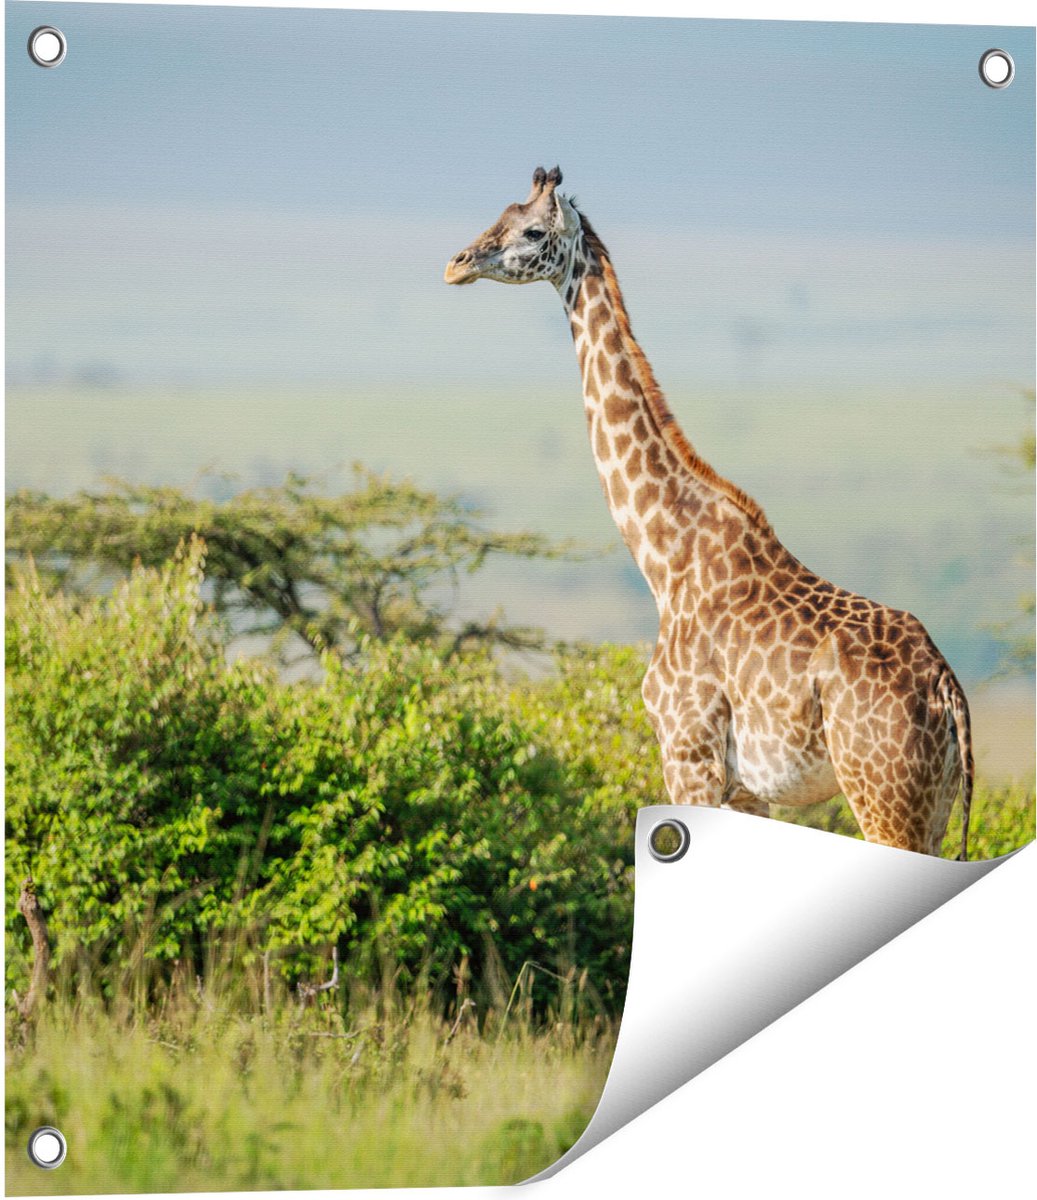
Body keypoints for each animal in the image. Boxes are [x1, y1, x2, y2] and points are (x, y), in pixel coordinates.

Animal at [445, 167, 973, 859]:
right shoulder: (745, 785)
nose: (456, 265)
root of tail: (947, 688)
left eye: (532, 231)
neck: (664, 556)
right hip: (932, 809)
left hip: (884, 799)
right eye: (499, 215)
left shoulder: (686, 750)